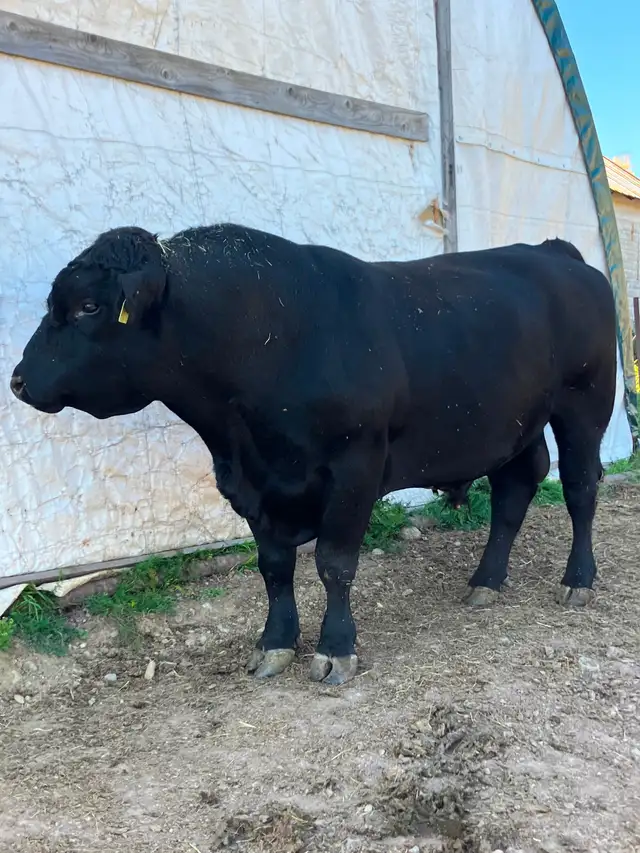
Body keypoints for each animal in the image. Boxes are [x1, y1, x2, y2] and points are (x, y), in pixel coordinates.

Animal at [10, 225, 616, 685]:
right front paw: (275, 643)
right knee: (515, 489)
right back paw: (486, 582)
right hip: (516, 420)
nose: (18, 380)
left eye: (89, 306)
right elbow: (274, 566)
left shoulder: (355, 469)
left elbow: (334, 562)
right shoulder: (248, 484)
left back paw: (578, 581)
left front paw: (335, 648)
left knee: (581, 488)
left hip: (586, 402)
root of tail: (553, 251)